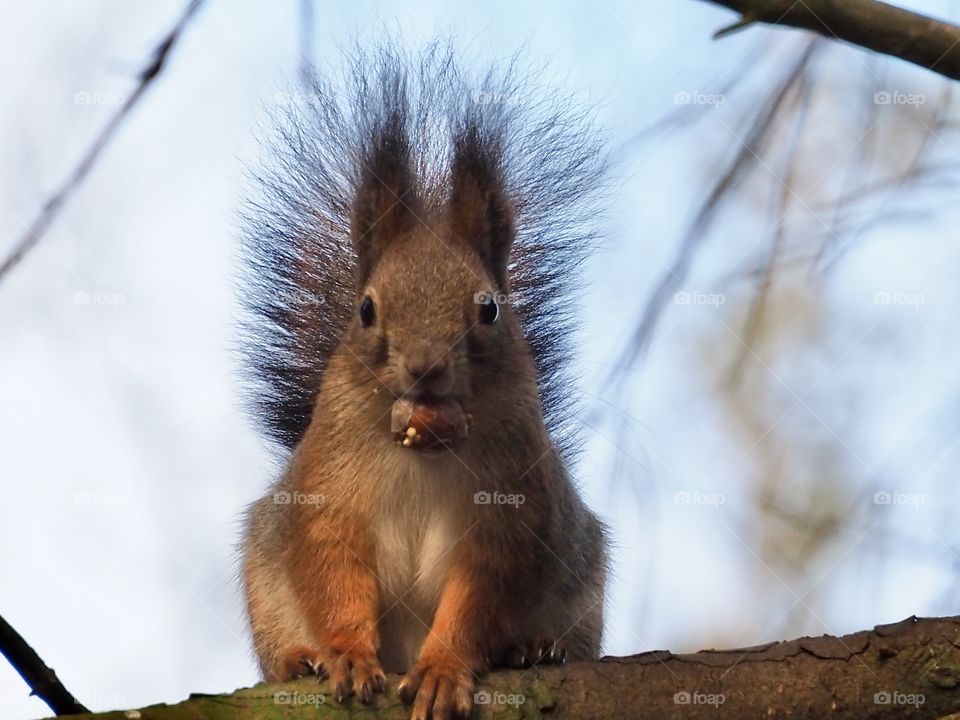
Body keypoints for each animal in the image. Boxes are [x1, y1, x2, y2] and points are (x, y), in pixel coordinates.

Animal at [239, 41, 609, 720]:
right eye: (365, 309)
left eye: (489, 308)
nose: (425, 367)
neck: (424, 446)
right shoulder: (327, 493)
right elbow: (332, 571)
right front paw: (347, 655)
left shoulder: (511, 508)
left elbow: (481, 599)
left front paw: (442, 670)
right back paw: (297, 658)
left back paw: (538, 649)